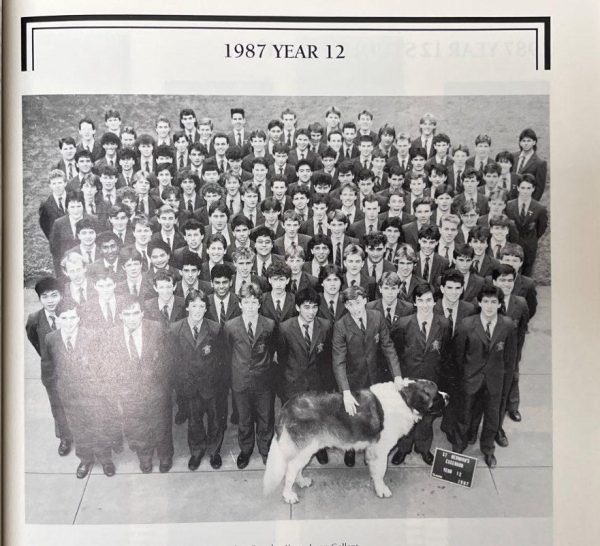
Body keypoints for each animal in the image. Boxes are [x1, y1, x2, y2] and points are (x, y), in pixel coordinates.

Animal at [262, 378, 446, 502]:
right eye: (436, 395)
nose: (448, 395)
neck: (404, 398)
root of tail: (287, 406)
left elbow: (375, 469)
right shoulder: (380, 450)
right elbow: (381, 470)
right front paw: (382, 489)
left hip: (307, 449)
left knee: (296, 467)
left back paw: (301, 481)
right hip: (306, 447)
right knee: (291, 468)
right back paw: (288, 495)